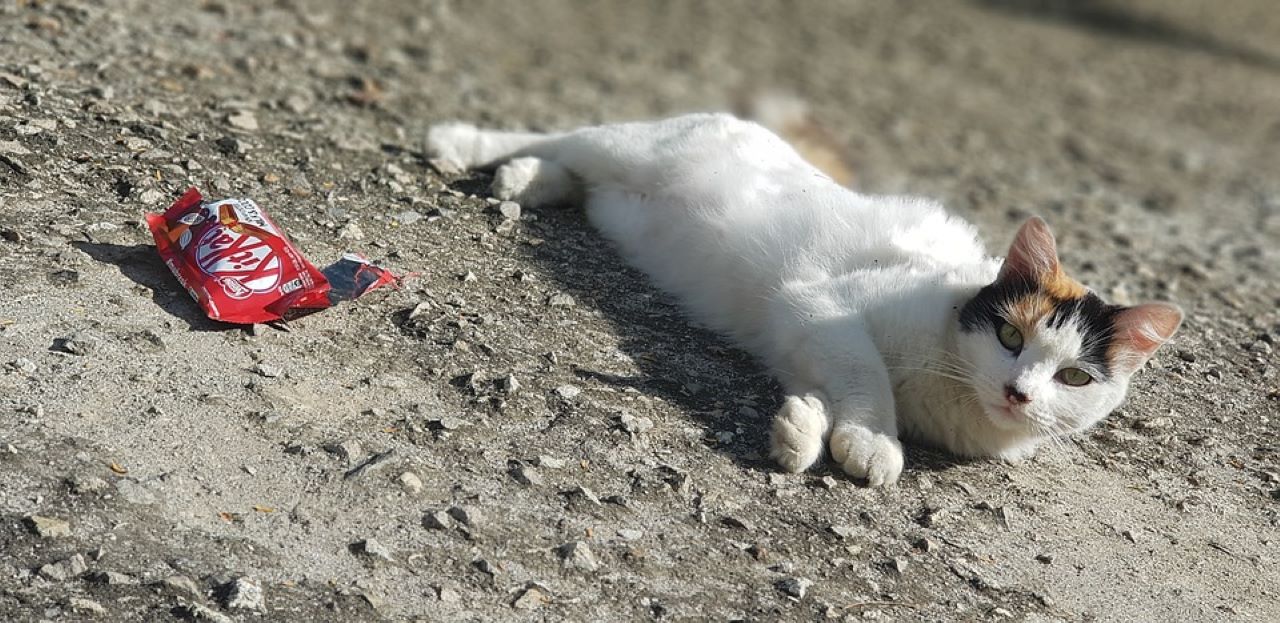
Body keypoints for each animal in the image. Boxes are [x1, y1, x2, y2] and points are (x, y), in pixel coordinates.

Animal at [427, 114, 1177, 491]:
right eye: (1012, 338)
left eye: (1073, 377)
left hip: (614, 195)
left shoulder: (799, 334)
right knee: (552, 132)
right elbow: (866, 373)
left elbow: (820, 384)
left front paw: (803, 427)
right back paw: (463, 144)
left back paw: (527, 181)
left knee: (576, 178)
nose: (1020, 392)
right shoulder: (821, 303)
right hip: (625, 145)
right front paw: (871, 439)